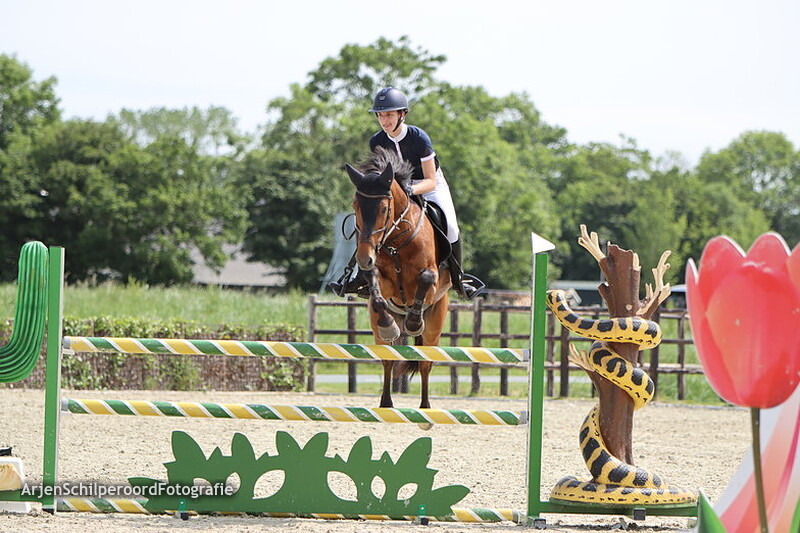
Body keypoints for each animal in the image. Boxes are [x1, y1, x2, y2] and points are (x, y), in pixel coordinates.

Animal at [344, 147, 451, 409]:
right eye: (356, 205)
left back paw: (425, 407)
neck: (396, 243)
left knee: (425, 363)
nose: (364, 258)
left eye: (384, 209)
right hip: (380, 331)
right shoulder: (383, 282)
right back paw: (386, 403)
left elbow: (425, 279)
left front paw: (414, 322)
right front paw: (389, 325)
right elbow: (376, 291)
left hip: (435, 324)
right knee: (388, 358)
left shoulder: (433, 280)